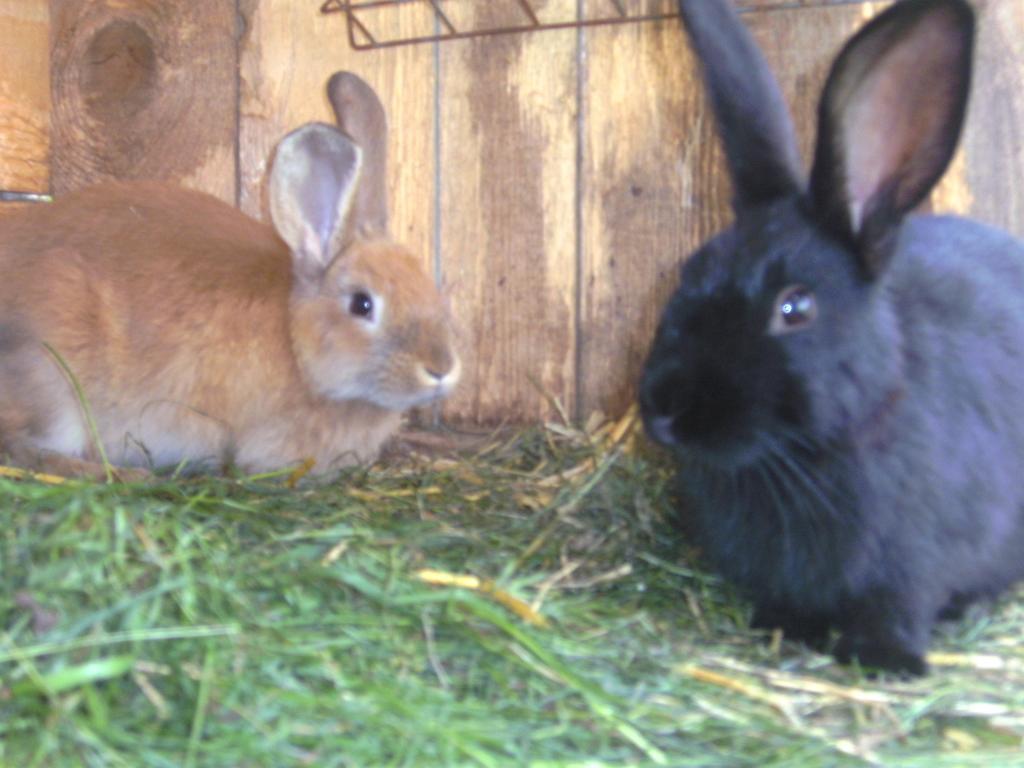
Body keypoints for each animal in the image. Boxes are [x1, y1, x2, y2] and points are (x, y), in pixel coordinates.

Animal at [0, 73, 460, 481]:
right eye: (362, 304)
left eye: (430, 289)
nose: (441, 368)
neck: (296, 343)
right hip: (51, 382)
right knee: (23, 447)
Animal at [643, 0, 1024, 675]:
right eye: (687, 273)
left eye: (794, 308)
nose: (664, 410)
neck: (800, 457)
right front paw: (784, 629)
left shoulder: (912, 570)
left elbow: (897, 608)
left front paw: (884, 660)